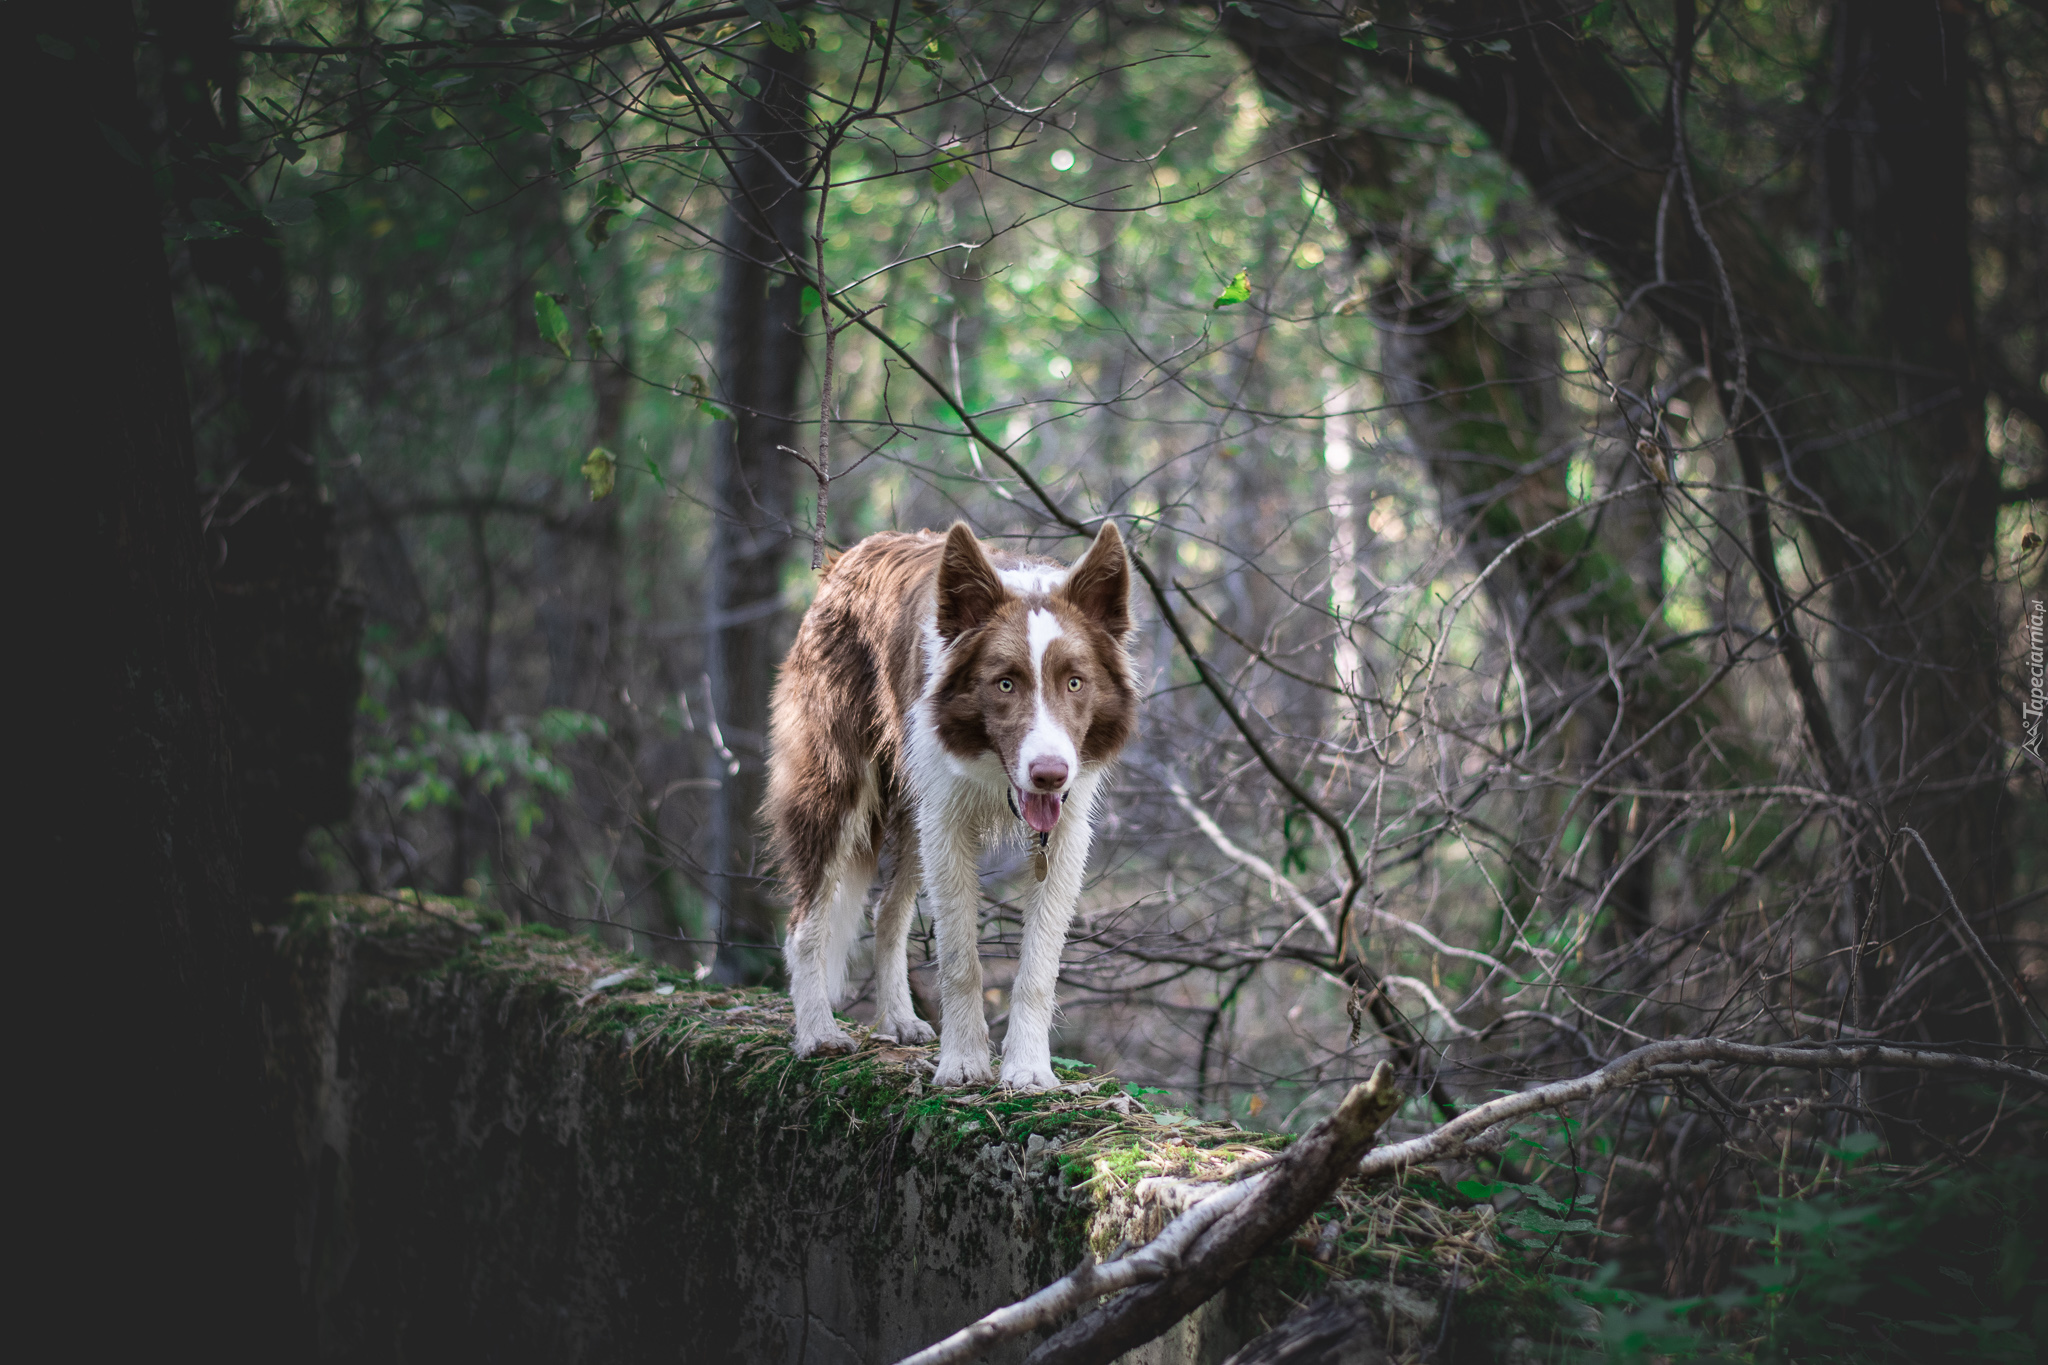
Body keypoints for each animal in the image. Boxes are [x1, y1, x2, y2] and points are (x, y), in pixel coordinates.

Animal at [761, 523, 1138, 1088]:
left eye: (1075, 682)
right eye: (1005, 683)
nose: (1050, 774)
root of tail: (845, 559)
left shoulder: (1065, 832)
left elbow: (1039, 967)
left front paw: (1028, 1069)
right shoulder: (947, 822)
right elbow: (961, 959)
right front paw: (963, 1063)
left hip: (914, 814)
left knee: (887, 911)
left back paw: (897, 1017)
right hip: (836, 788)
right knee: (805, 921)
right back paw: (817, 1032)